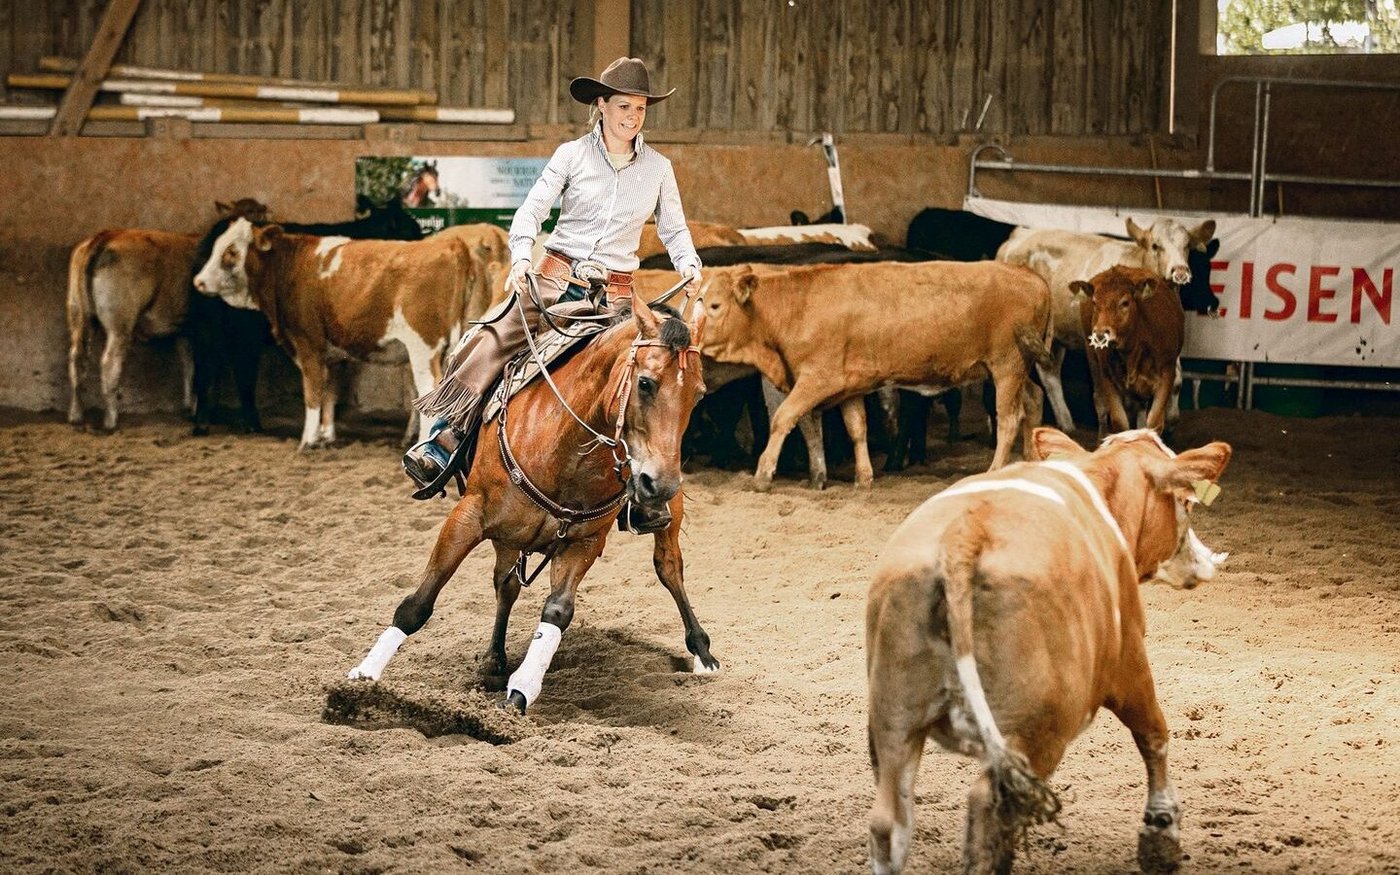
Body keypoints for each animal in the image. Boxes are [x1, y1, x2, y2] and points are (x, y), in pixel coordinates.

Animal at [348, 295, 719, 714]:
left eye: (699, 393)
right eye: (645, 383)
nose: (659, 485)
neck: (566, 448)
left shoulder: (584, 542)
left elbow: (557, 610)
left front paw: (521, 689)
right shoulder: (468, 517)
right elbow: (419, 603)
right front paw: (364, 676)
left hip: (662, 517)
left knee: (669, 567)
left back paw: (703, 653)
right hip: (508, 535)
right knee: (505, 584)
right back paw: (493, 658)